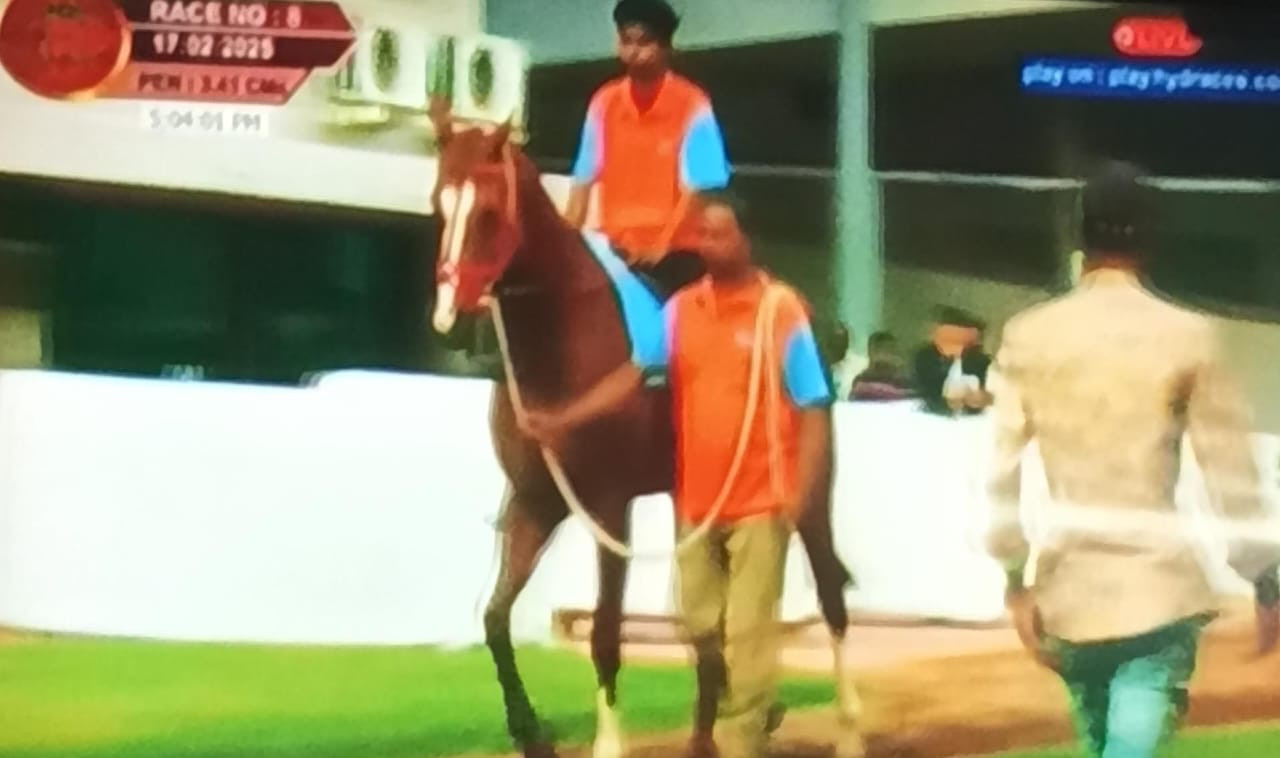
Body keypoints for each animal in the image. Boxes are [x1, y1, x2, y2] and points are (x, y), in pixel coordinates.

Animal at [427, 106, 865, 758]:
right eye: (439, 204)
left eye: (487, 214)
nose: (449, 322)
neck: (565, 338)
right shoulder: (535, 502)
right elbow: (494, 618)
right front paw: (532, 733)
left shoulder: (609, 506)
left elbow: (606, 631)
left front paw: (609, 741)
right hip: (695, 500)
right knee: (707, 620)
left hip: (807, 488)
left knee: (830, 596)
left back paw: (847, 726)